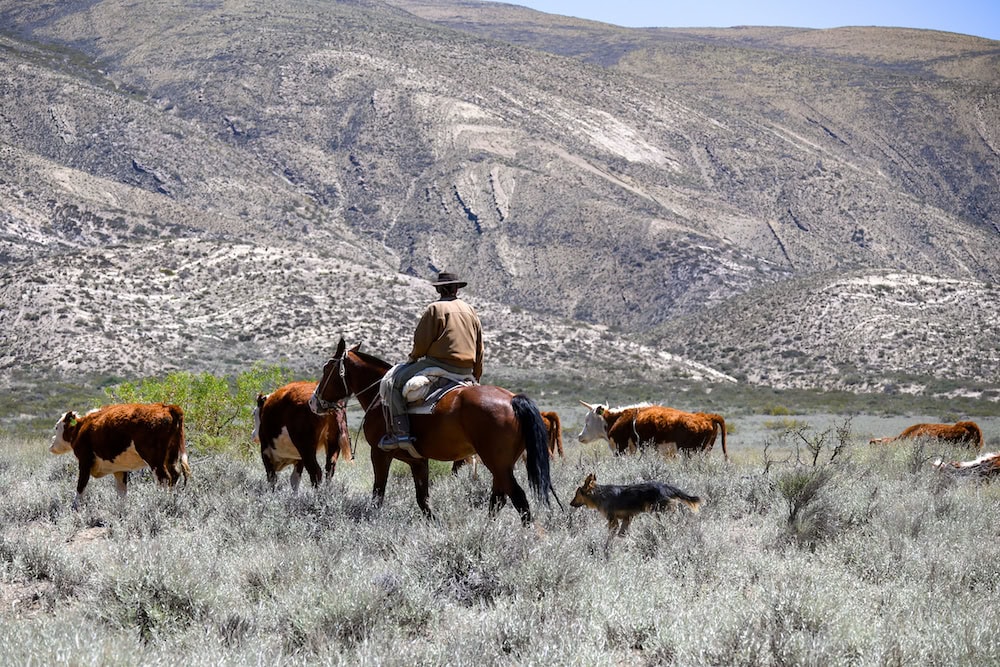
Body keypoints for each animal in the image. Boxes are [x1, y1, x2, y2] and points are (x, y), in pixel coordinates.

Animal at [49, 402, 191, 512]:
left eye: (56, 427)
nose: (51, 443)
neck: (82, 427)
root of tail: (167, 407)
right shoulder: (119, 469)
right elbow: (122, 492)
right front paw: (122, 510)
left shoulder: (85, 461)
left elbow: (80, 486)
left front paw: (75, 508)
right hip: (171, 456)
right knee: (175, 475)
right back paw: (172, 501)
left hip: (155, 459)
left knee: (164, 479)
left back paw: (161, 503)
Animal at [308, 340, 560, 520]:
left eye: (327, 369)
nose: (313, 402)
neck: (379, 397)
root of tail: (513, 399)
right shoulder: (418, 461)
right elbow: (423, 499)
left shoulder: (379, 454)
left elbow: (378, 494)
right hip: (502, 466)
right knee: (498, 499)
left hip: (496, 463)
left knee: (518, 498)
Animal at [572, 470, 704, 536]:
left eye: (576, 494)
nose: (570, 503)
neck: (600, 495)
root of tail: (666, 487)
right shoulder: (627, 518)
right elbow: (621, 535)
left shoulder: (613, 520)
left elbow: (611, 536)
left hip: (661, 511)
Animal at [580, 400, 728, 462]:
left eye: (587, 421)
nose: (580, 436)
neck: (617, 418)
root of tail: (706, 416)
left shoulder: (621, 448)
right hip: (705, 451)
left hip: (689, 452)